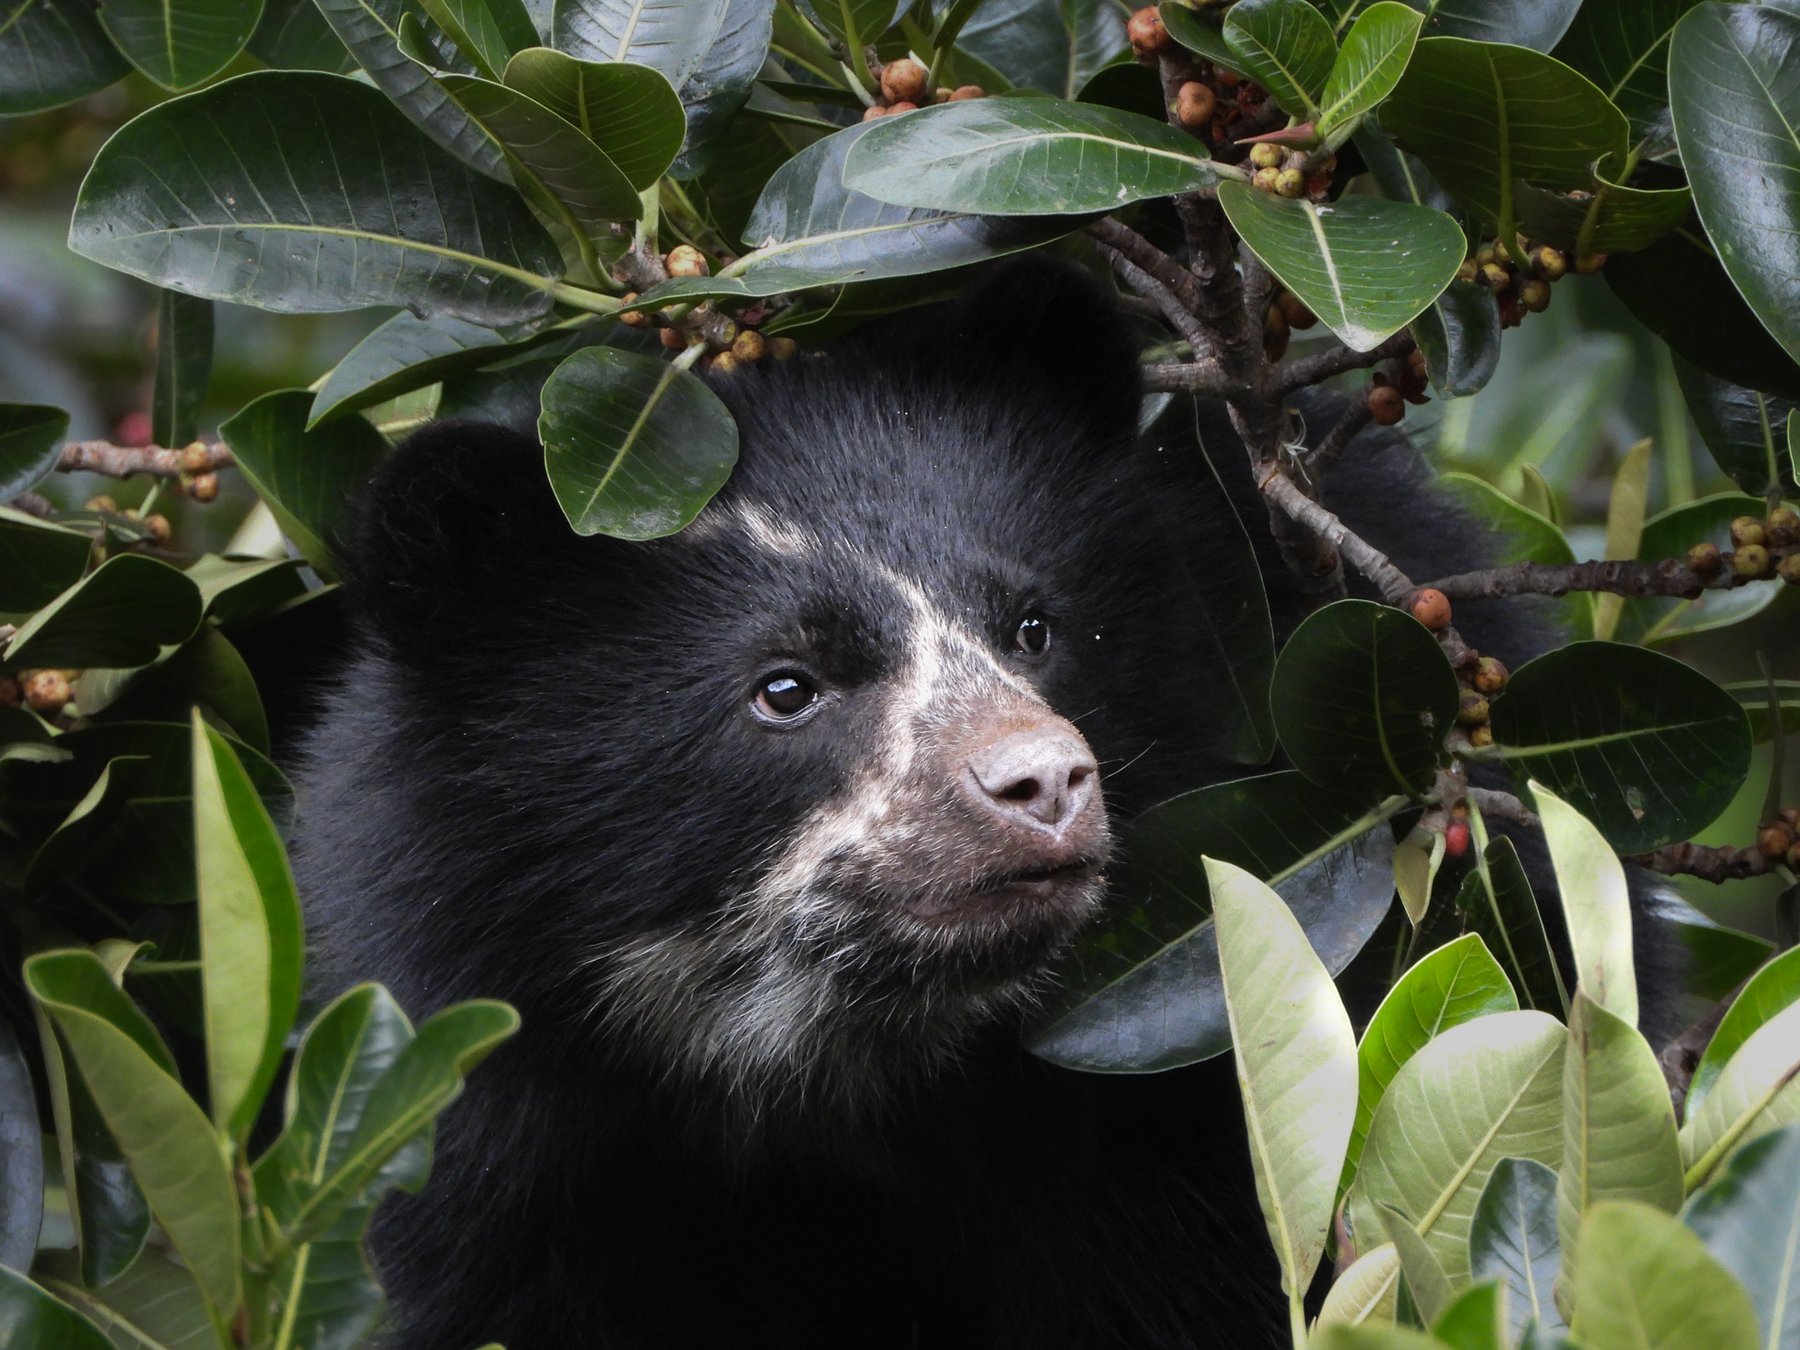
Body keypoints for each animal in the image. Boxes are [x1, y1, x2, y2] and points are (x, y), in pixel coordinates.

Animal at [291, 256, 1672, 1349]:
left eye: (1036, 626)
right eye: (784, 687)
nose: (1043, 782)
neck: (829, 1065)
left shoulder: (1184, 1120)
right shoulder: (475, 1116)